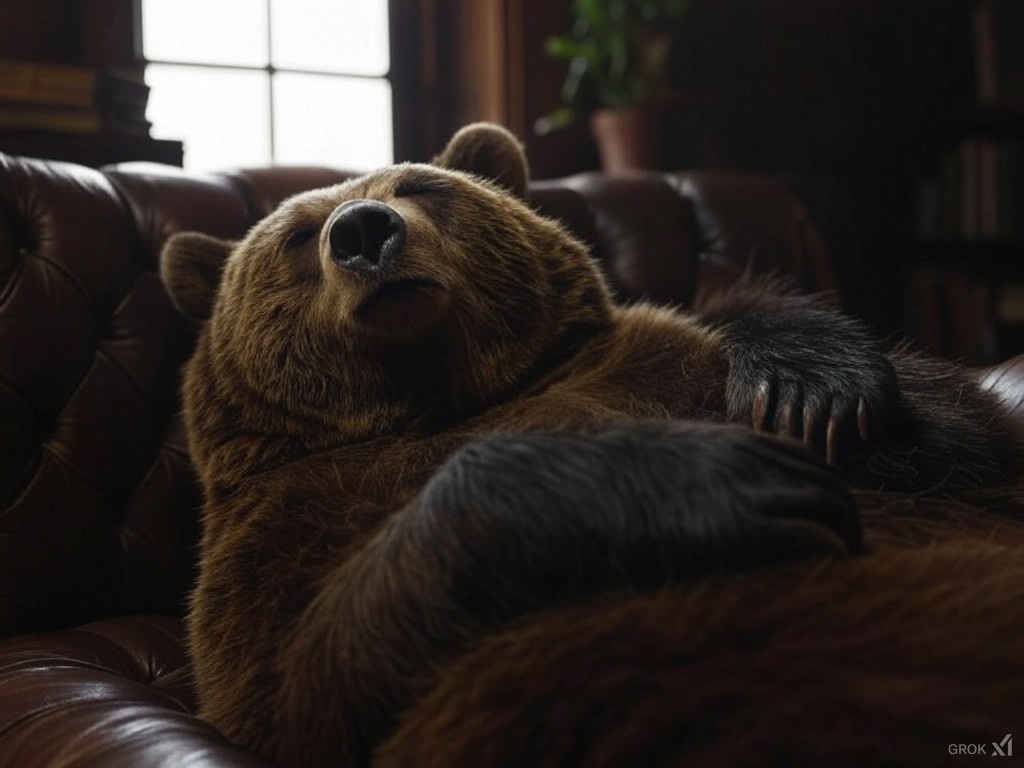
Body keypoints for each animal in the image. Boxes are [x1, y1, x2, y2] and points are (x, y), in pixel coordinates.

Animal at [160, 122, 1024, 768]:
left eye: (422, 188)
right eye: (298, 235)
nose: (364, 230)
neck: (441, 396)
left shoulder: (652, 357)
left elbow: (960, 437)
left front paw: (812, 390)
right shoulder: (277, 537)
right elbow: (309, 678)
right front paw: (724, 479)